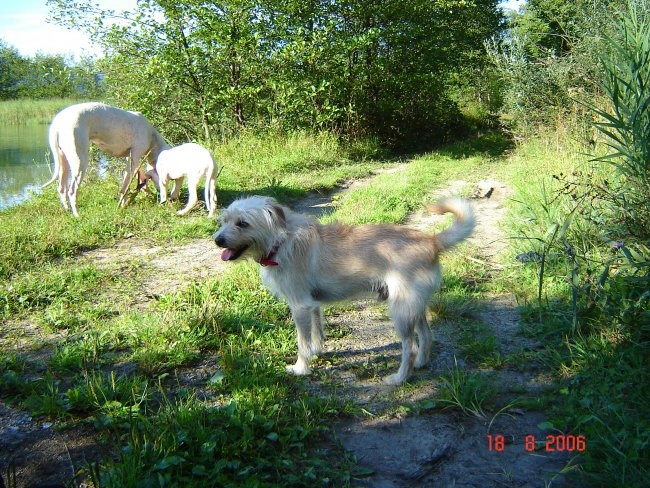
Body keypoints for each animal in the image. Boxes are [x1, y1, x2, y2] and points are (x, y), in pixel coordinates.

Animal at [215, 195, 474, 386]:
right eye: (224, 221)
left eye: (242, 223)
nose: (217, 240)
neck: (281, 240)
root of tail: (432, 241)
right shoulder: (312, 304)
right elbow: (316, 331)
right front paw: (317, 351)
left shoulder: (299, 307)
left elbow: (302, 342)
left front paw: (301, 368)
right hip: (413, 307)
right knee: (427, 335)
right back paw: (421, 363)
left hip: (401, 311)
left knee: (409, 348)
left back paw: (399, 379)